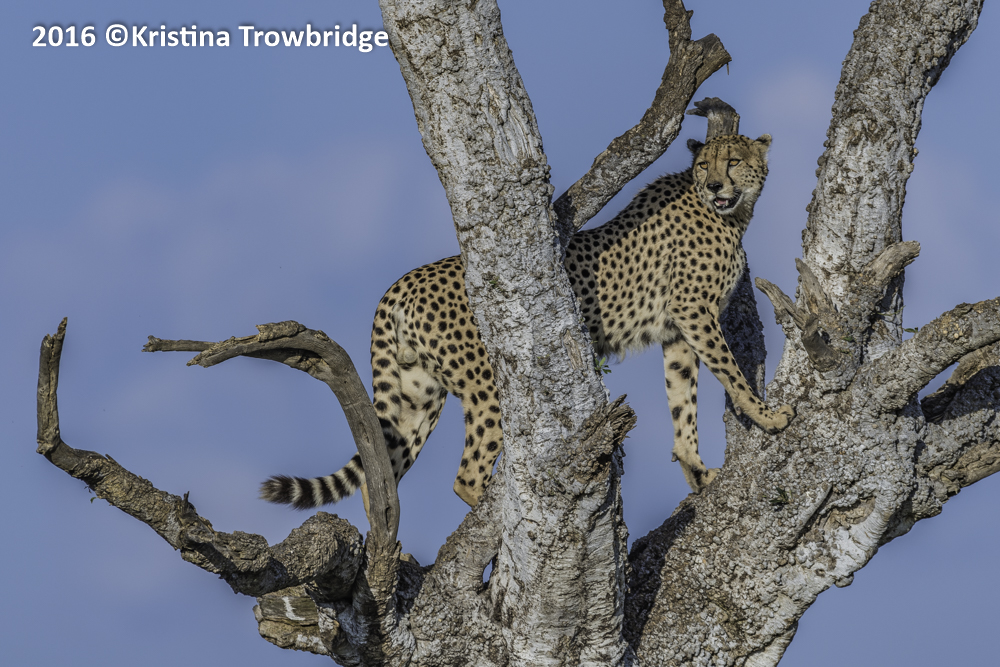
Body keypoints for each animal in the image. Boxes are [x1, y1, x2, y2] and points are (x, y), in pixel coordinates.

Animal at [260, 132, 795, 511]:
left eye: (734, 161)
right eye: (706, 164)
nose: (716, 184)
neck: (729, 214)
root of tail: (405, 281)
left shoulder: (678, 332)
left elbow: (682, 401)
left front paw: (697, 471)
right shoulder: (693, 312)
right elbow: (730, 372)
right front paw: (766, 415)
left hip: (417, 393)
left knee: (380, 479)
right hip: (487, 384)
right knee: (466, 476)